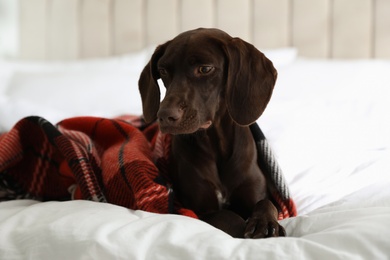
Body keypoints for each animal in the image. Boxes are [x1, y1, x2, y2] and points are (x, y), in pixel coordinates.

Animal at [139, 27, 284, 238]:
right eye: (163, 71)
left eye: (205, 69)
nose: (164, 115)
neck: (216, 144)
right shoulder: (201, 211)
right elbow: (229, 217)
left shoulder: (258, 195)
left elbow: (267, 203)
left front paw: (264, 223)